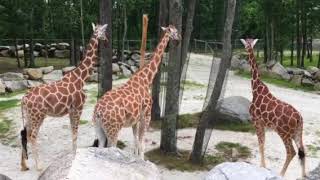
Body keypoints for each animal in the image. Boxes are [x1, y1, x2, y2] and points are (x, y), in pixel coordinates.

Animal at [20, 23, 108, 171]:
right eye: (104, 32)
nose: (107, 41)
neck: (81, 78)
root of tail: (24, 99)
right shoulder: (78, 108)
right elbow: (75, 133)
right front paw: (74, 156)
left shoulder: (71, 110)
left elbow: (72, 132)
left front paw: (73, 154)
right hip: (38, 116)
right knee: (32, 136)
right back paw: (39, 166)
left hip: (29, 116)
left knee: (24, 134)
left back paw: (24, 165)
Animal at [92, 24, 180, 158]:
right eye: (175, 32)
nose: (179, 39)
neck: (146, 79)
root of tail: (98, 111)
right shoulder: (146, 115)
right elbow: (142, 143)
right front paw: (142, 159)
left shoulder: (135, 119)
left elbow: (136, 142)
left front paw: (136, 157)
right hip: (113, 130)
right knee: (112, 147)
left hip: (99, 128)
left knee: (101, 146)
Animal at [241, 38, 306, 177]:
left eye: (246, 44)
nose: (245, 49)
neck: (255, 89)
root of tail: (299, 118)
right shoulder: (263, 125)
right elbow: (262, 143)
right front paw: (263, 166)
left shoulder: (256, 121)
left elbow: (260, 144)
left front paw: (262, 166)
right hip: (297, 132)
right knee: (302, 151)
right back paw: (303, 176)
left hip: (283, 132)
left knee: (291, 152)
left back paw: (281, 174)